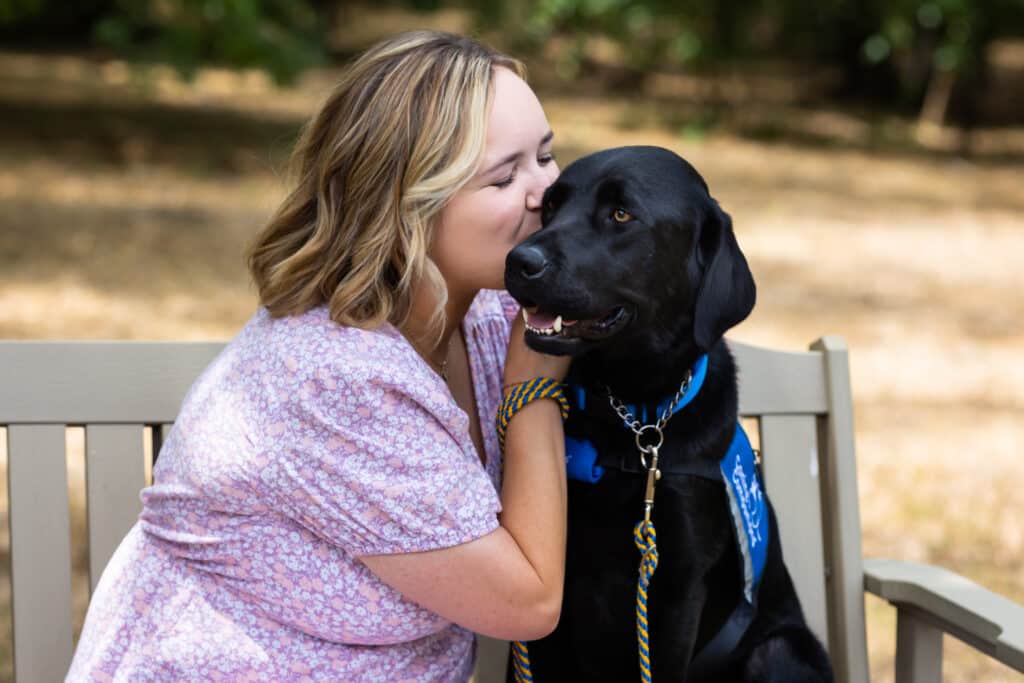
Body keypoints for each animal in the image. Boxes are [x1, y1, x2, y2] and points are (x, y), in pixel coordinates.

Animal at [503, 147, 831, 679]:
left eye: (621, 214)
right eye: (550, 206)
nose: (517, 261)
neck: (637, 416)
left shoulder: (678, 584)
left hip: (780, 648)